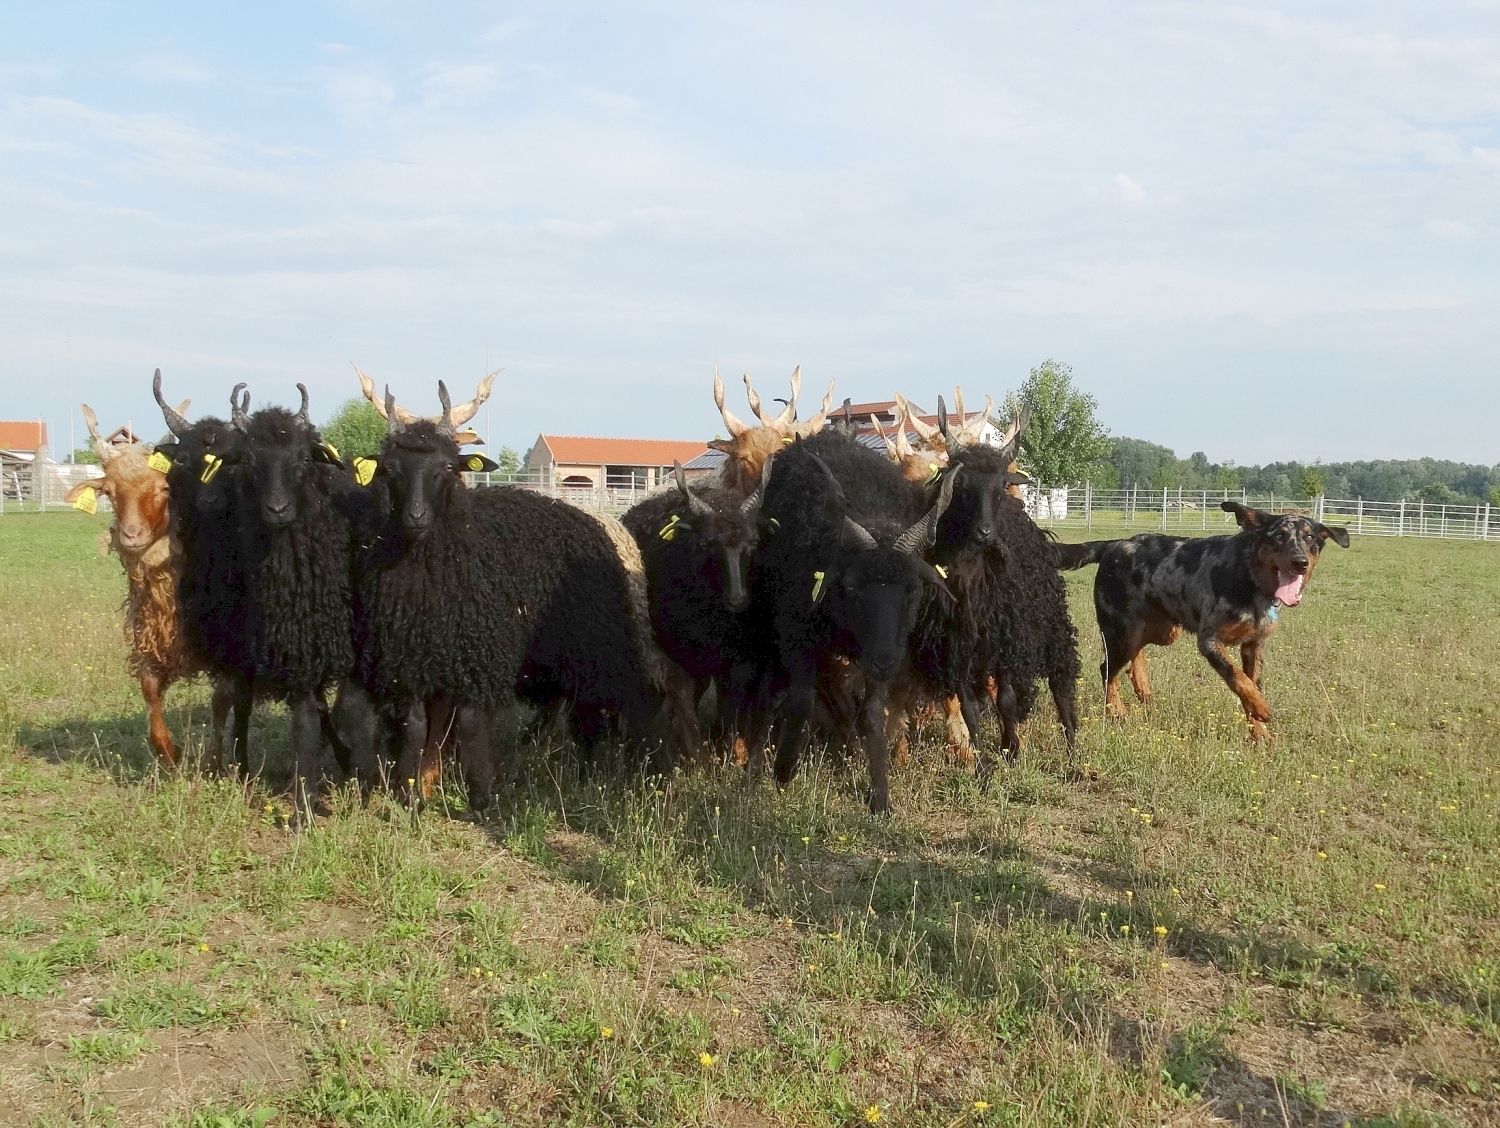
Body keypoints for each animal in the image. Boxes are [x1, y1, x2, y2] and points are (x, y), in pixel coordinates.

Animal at [357, 390, 663, 810]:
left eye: (447, 466)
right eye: (390, 468)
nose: (415, 516)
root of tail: (601, 521)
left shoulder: (480, 654)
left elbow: (470, 722)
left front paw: (480, 794)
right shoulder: (415, 659)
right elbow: (419, 725)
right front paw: (413, 790)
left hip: (593, 647)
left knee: (591, 710)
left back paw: (589, 772)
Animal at [912, 438, 1080, 759]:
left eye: (1001, 486)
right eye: (961, 486)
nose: (984, 532)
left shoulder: (1007, 640)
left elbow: (1007, 700)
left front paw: (1012, 751)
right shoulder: (957, 647)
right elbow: (970, 709)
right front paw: (982, 761)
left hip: (1052, 625)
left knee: (1061, 683)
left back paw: (1073, 746)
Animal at [1050, 504, 1356, 741]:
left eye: (1310, 537)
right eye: (1279, 536)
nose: (1300, 562)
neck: (1249, 579)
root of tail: (1112, 545)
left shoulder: (1254, 645)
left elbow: (1250, 684)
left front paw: (1259, 732)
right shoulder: (1209, 641)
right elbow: (1238, 678)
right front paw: (1262, 709)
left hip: (1161, 629)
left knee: (1134, 656)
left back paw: (1142, 686)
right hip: (1122, 629)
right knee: (1107, 669)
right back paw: (1116, 710)